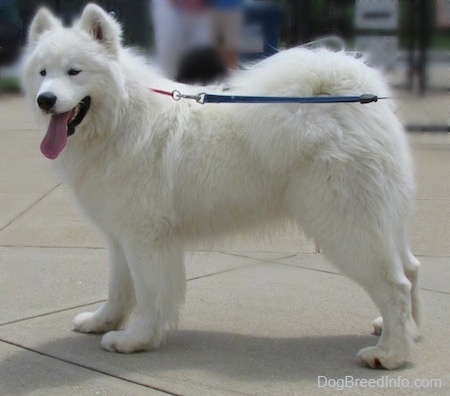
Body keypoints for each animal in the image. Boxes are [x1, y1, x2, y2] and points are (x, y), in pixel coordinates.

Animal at [22, 3, 420, 368]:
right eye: (42, 72)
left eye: (74, 71)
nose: (45, 100)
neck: (120, 119)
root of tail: (357, 99)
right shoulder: (120, 237)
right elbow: (119, 289)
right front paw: (102, 322)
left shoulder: (146, 239)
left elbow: (150, 295)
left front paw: (136, 340)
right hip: (379, 223)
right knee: (411, 269)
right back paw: (407, 333)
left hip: (345, 228)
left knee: (396, 286)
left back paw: (390, 354)